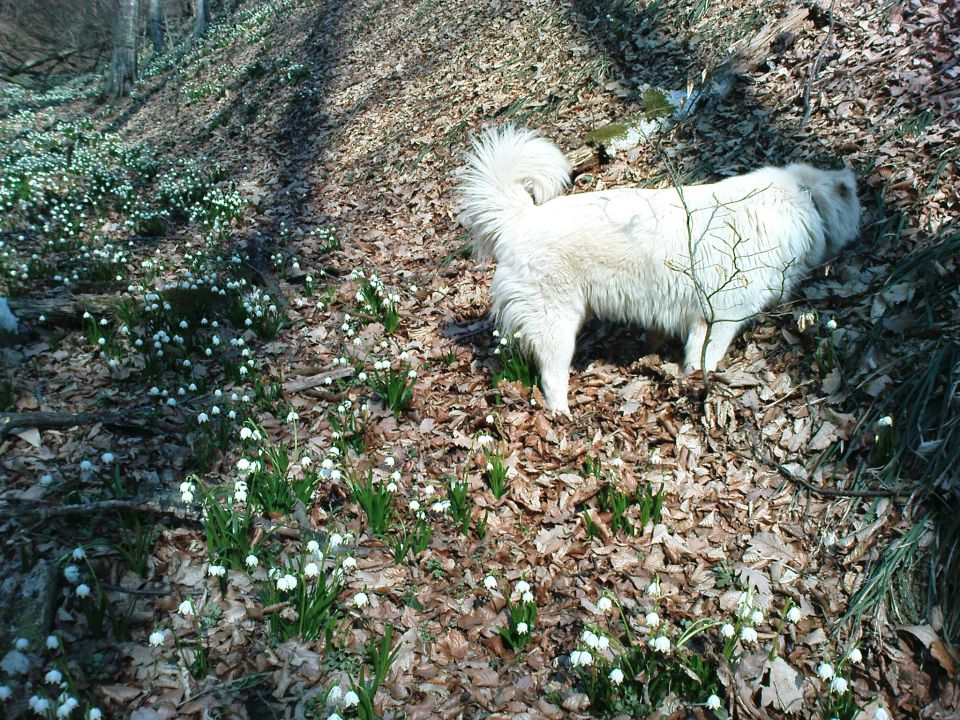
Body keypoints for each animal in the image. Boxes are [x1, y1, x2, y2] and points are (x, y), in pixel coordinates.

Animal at [458, 126, 864, 414]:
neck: (802, 200)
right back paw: (563, 417)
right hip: (556, 326)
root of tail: (520, 217)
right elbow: (701, 363)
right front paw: (695, 389)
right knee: (551, 377)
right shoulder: (716, 321)